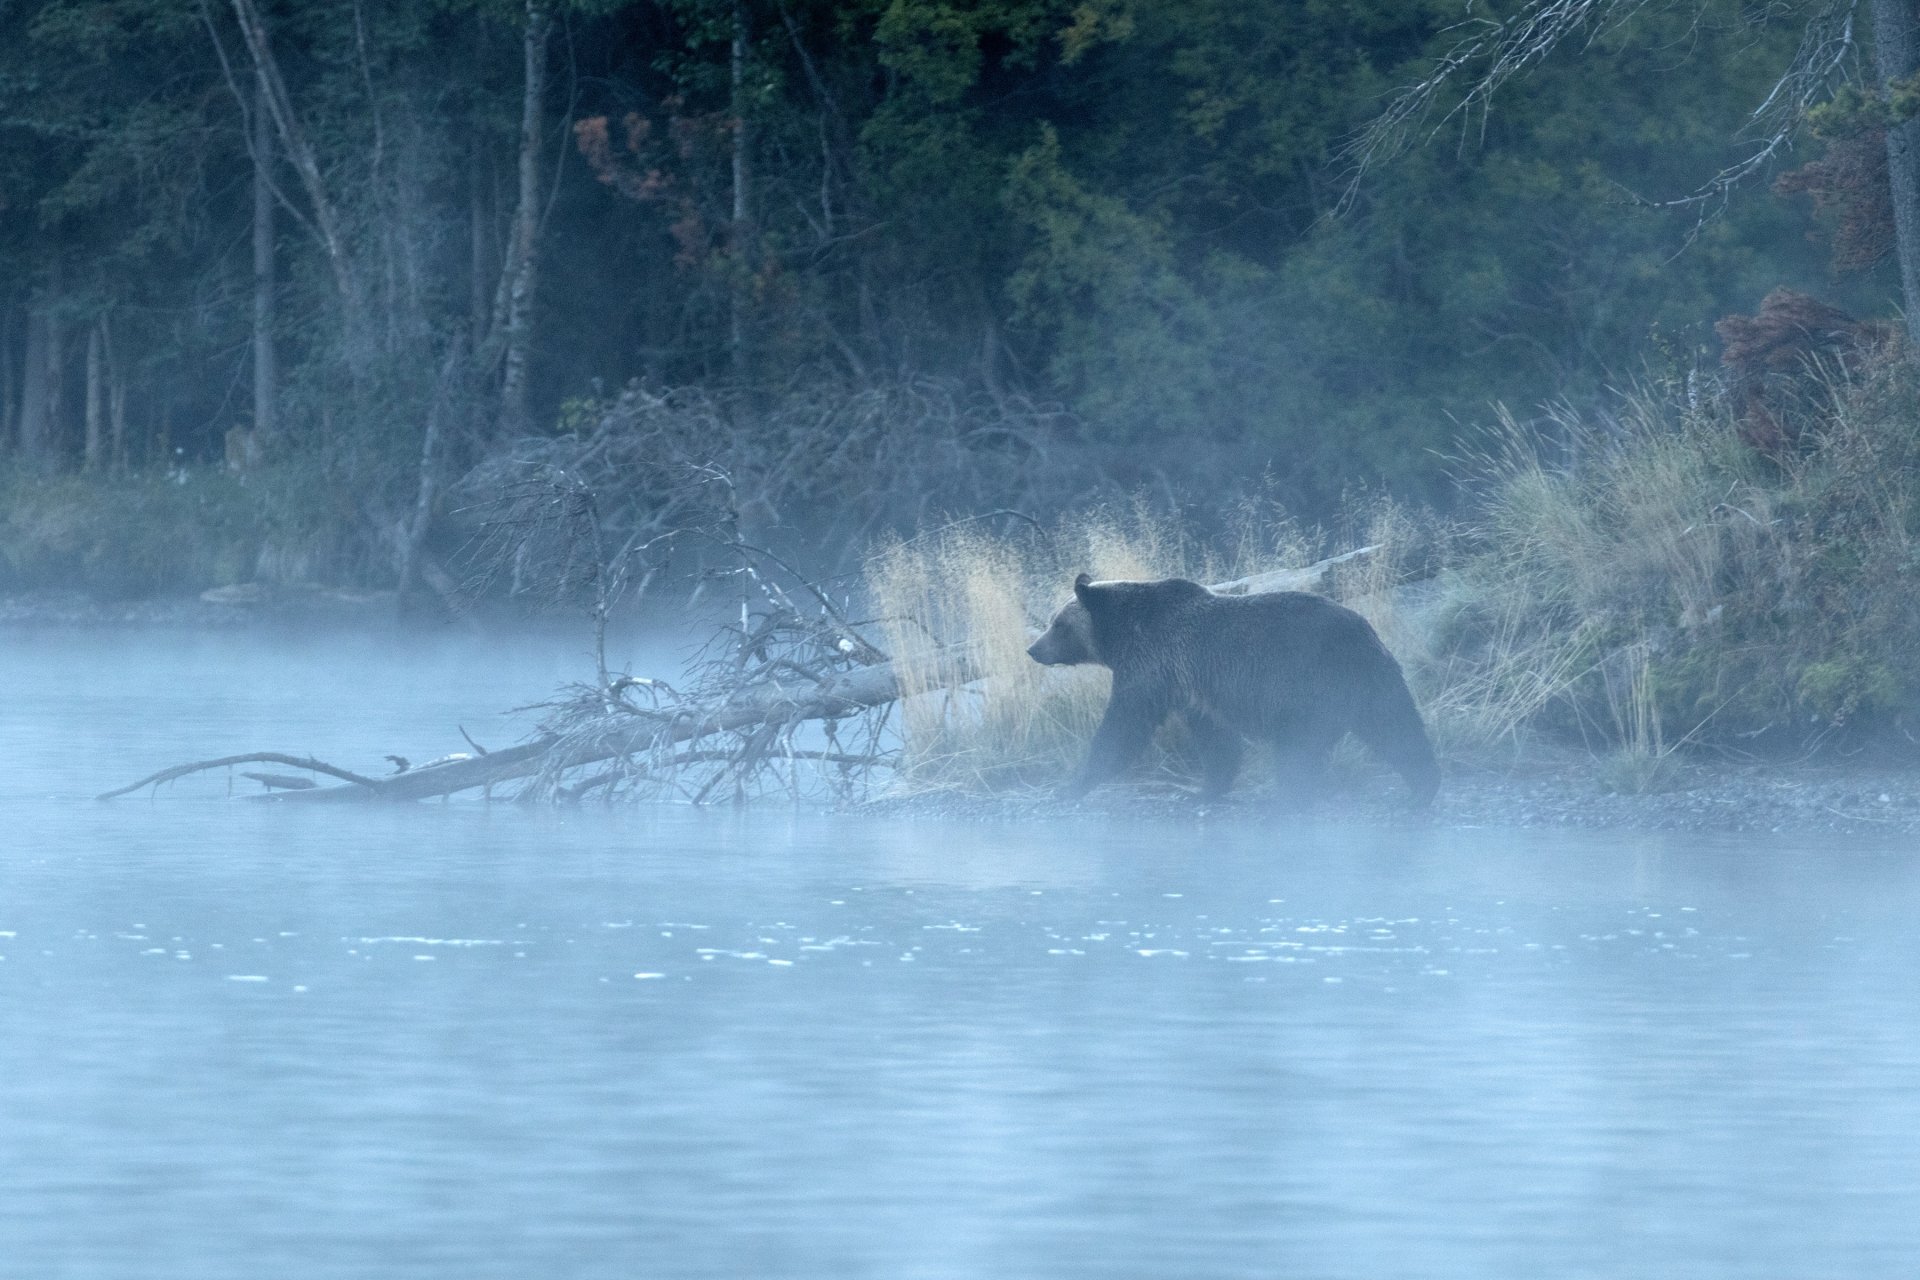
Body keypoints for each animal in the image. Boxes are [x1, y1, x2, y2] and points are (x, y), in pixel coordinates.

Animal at [1026, 573, 1439, 806]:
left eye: (1057, 623)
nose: (1033, 649)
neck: (1121, 634)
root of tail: (1363, 628)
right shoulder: (1193, 687)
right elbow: (1216, 740)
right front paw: (1206, 789)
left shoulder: (1151, 665)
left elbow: (1123, 726)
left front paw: (1074, 785)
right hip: (1370, 681)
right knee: (1396, 727)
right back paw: (1423, 785)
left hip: (1310, 684)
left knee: (1300, 749)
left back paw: (1290, 797)